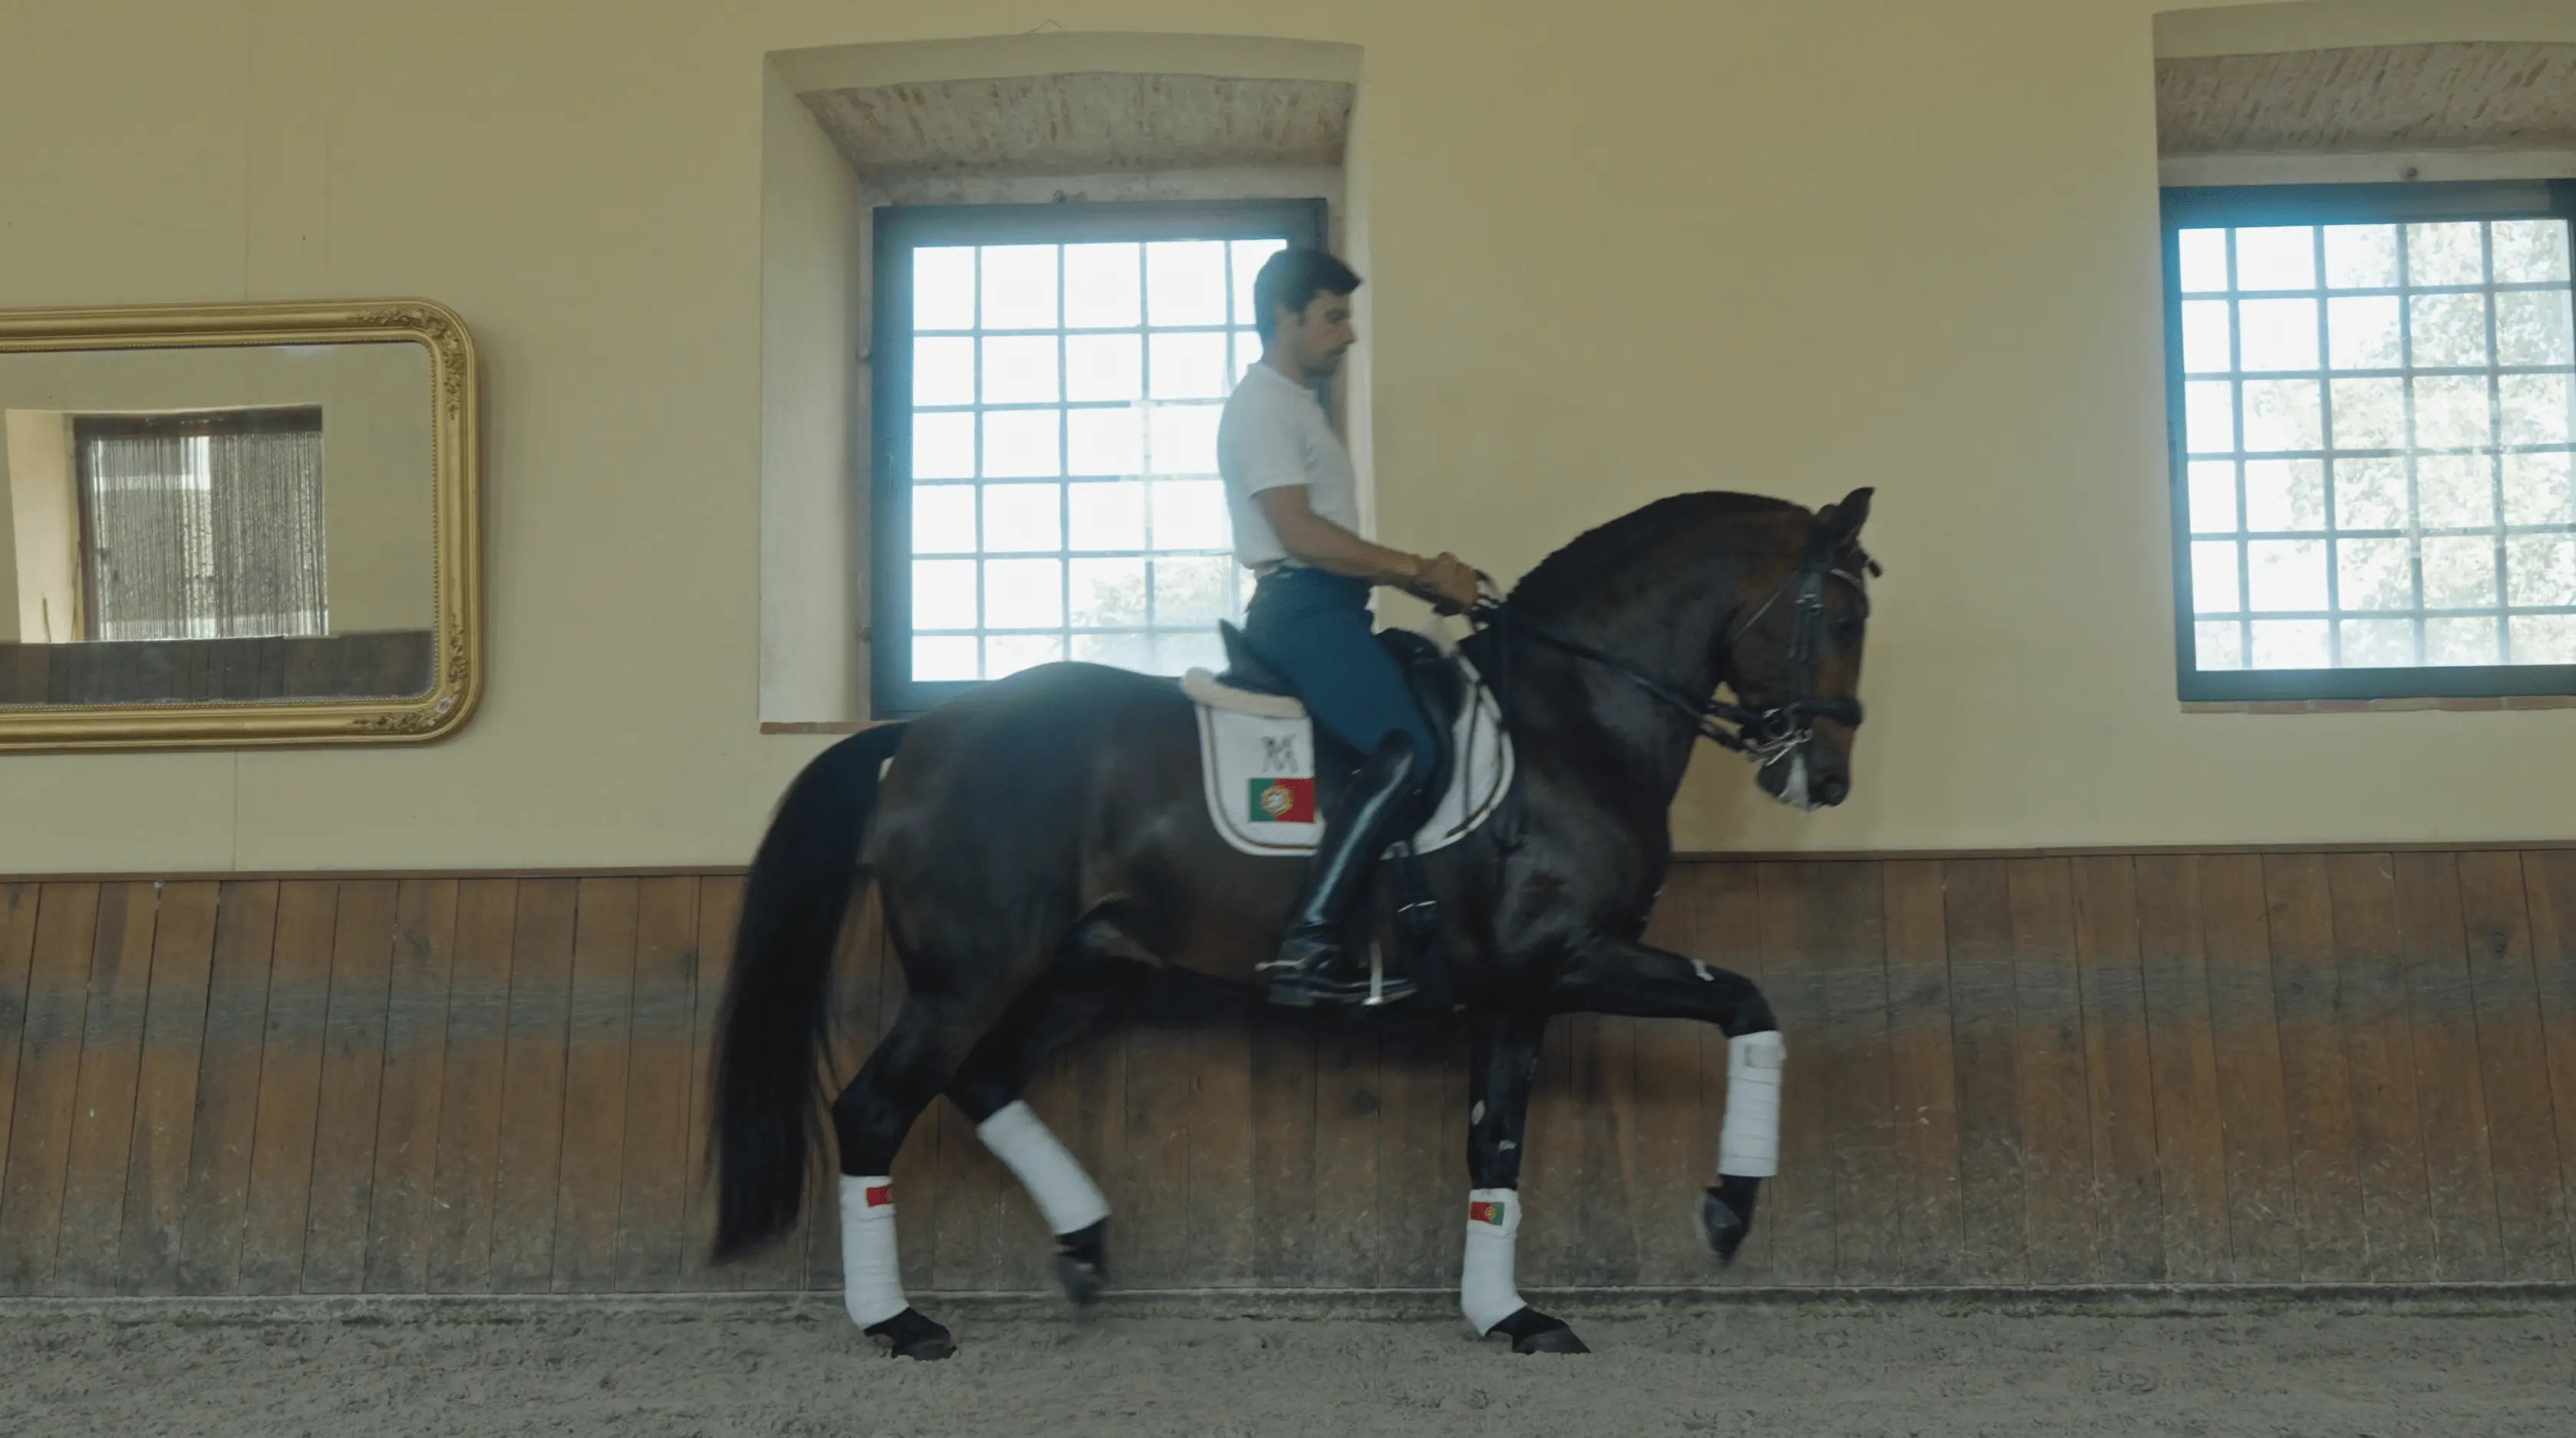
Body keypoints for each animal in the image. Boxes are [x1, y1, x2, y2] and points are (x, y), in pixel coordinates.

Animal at [710, 486, 1878, 1358]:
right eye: (1845, 619)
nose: (1823, 778)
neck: (1572, 715)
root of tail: (921, 729)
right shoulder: (1573, 956)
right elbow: (1749, 1003)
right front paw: (1728, 1209)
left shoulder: (1518, 990)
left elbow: (1495, 1146)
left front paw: (1506, 1312)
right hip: (969, 974)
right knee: (875, 1107)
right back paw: (899, 1321)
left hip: (1086, 967)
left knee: (984, 1080)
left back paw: (1084, 1244)